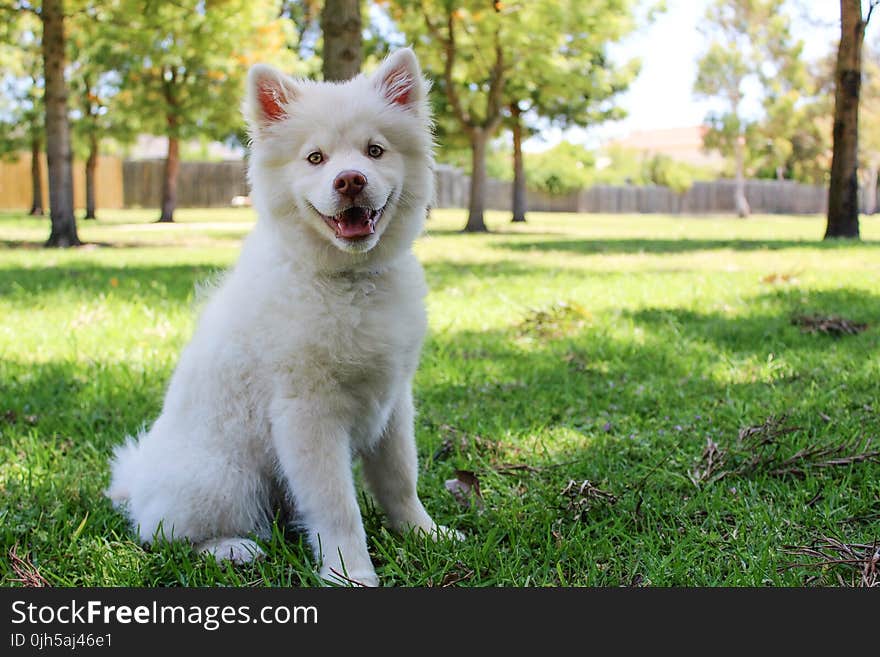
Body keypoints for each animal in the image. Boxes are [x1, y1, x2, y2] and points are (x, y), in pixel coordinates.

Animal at [106, 48, 458, 588]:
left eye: (374, 151)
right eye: (315, 158)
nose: (350, 180)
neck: (347, 281)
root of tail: (138, 481)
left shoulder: (393, 402)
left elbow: (401, 481)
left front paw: (425, 535)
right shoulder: (307, 414)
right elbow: (337, 506)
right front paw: (350, 572)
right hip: (225, 479)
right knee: (164, 533)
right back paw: (232, 549)